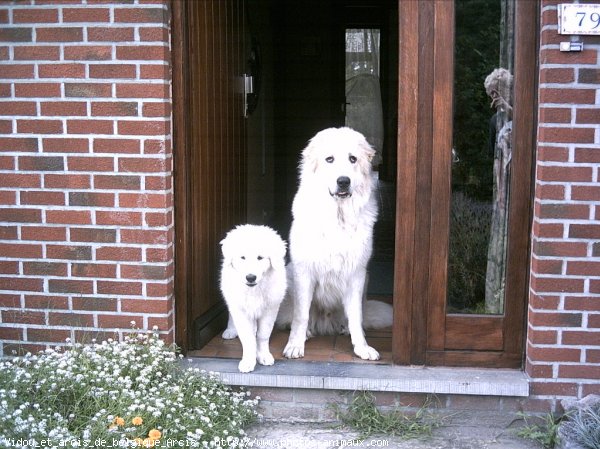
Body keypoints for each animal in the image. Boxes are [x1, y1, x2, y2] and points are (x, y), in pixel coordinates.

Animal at [219, 223, 288, 372]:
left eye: (260, 258)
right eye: (242, 257)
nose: (250, 277)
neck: (254, 290)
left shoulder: (270, 308)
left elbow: (263, 335)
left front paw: (263, 356)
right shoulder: (241, 309)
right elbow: (247, 338)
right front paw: (248, 361)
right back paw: (230, 330)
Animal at [282, 126, 384, 360]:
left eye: (352, 159)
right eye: (329, 159)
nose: (343, 181)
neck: (338, 215)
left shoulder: (356, 274)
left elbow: (356, 316)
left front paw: (361, 347)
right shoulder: (304, 272)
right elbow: (301, 315)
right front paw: (295, 345)